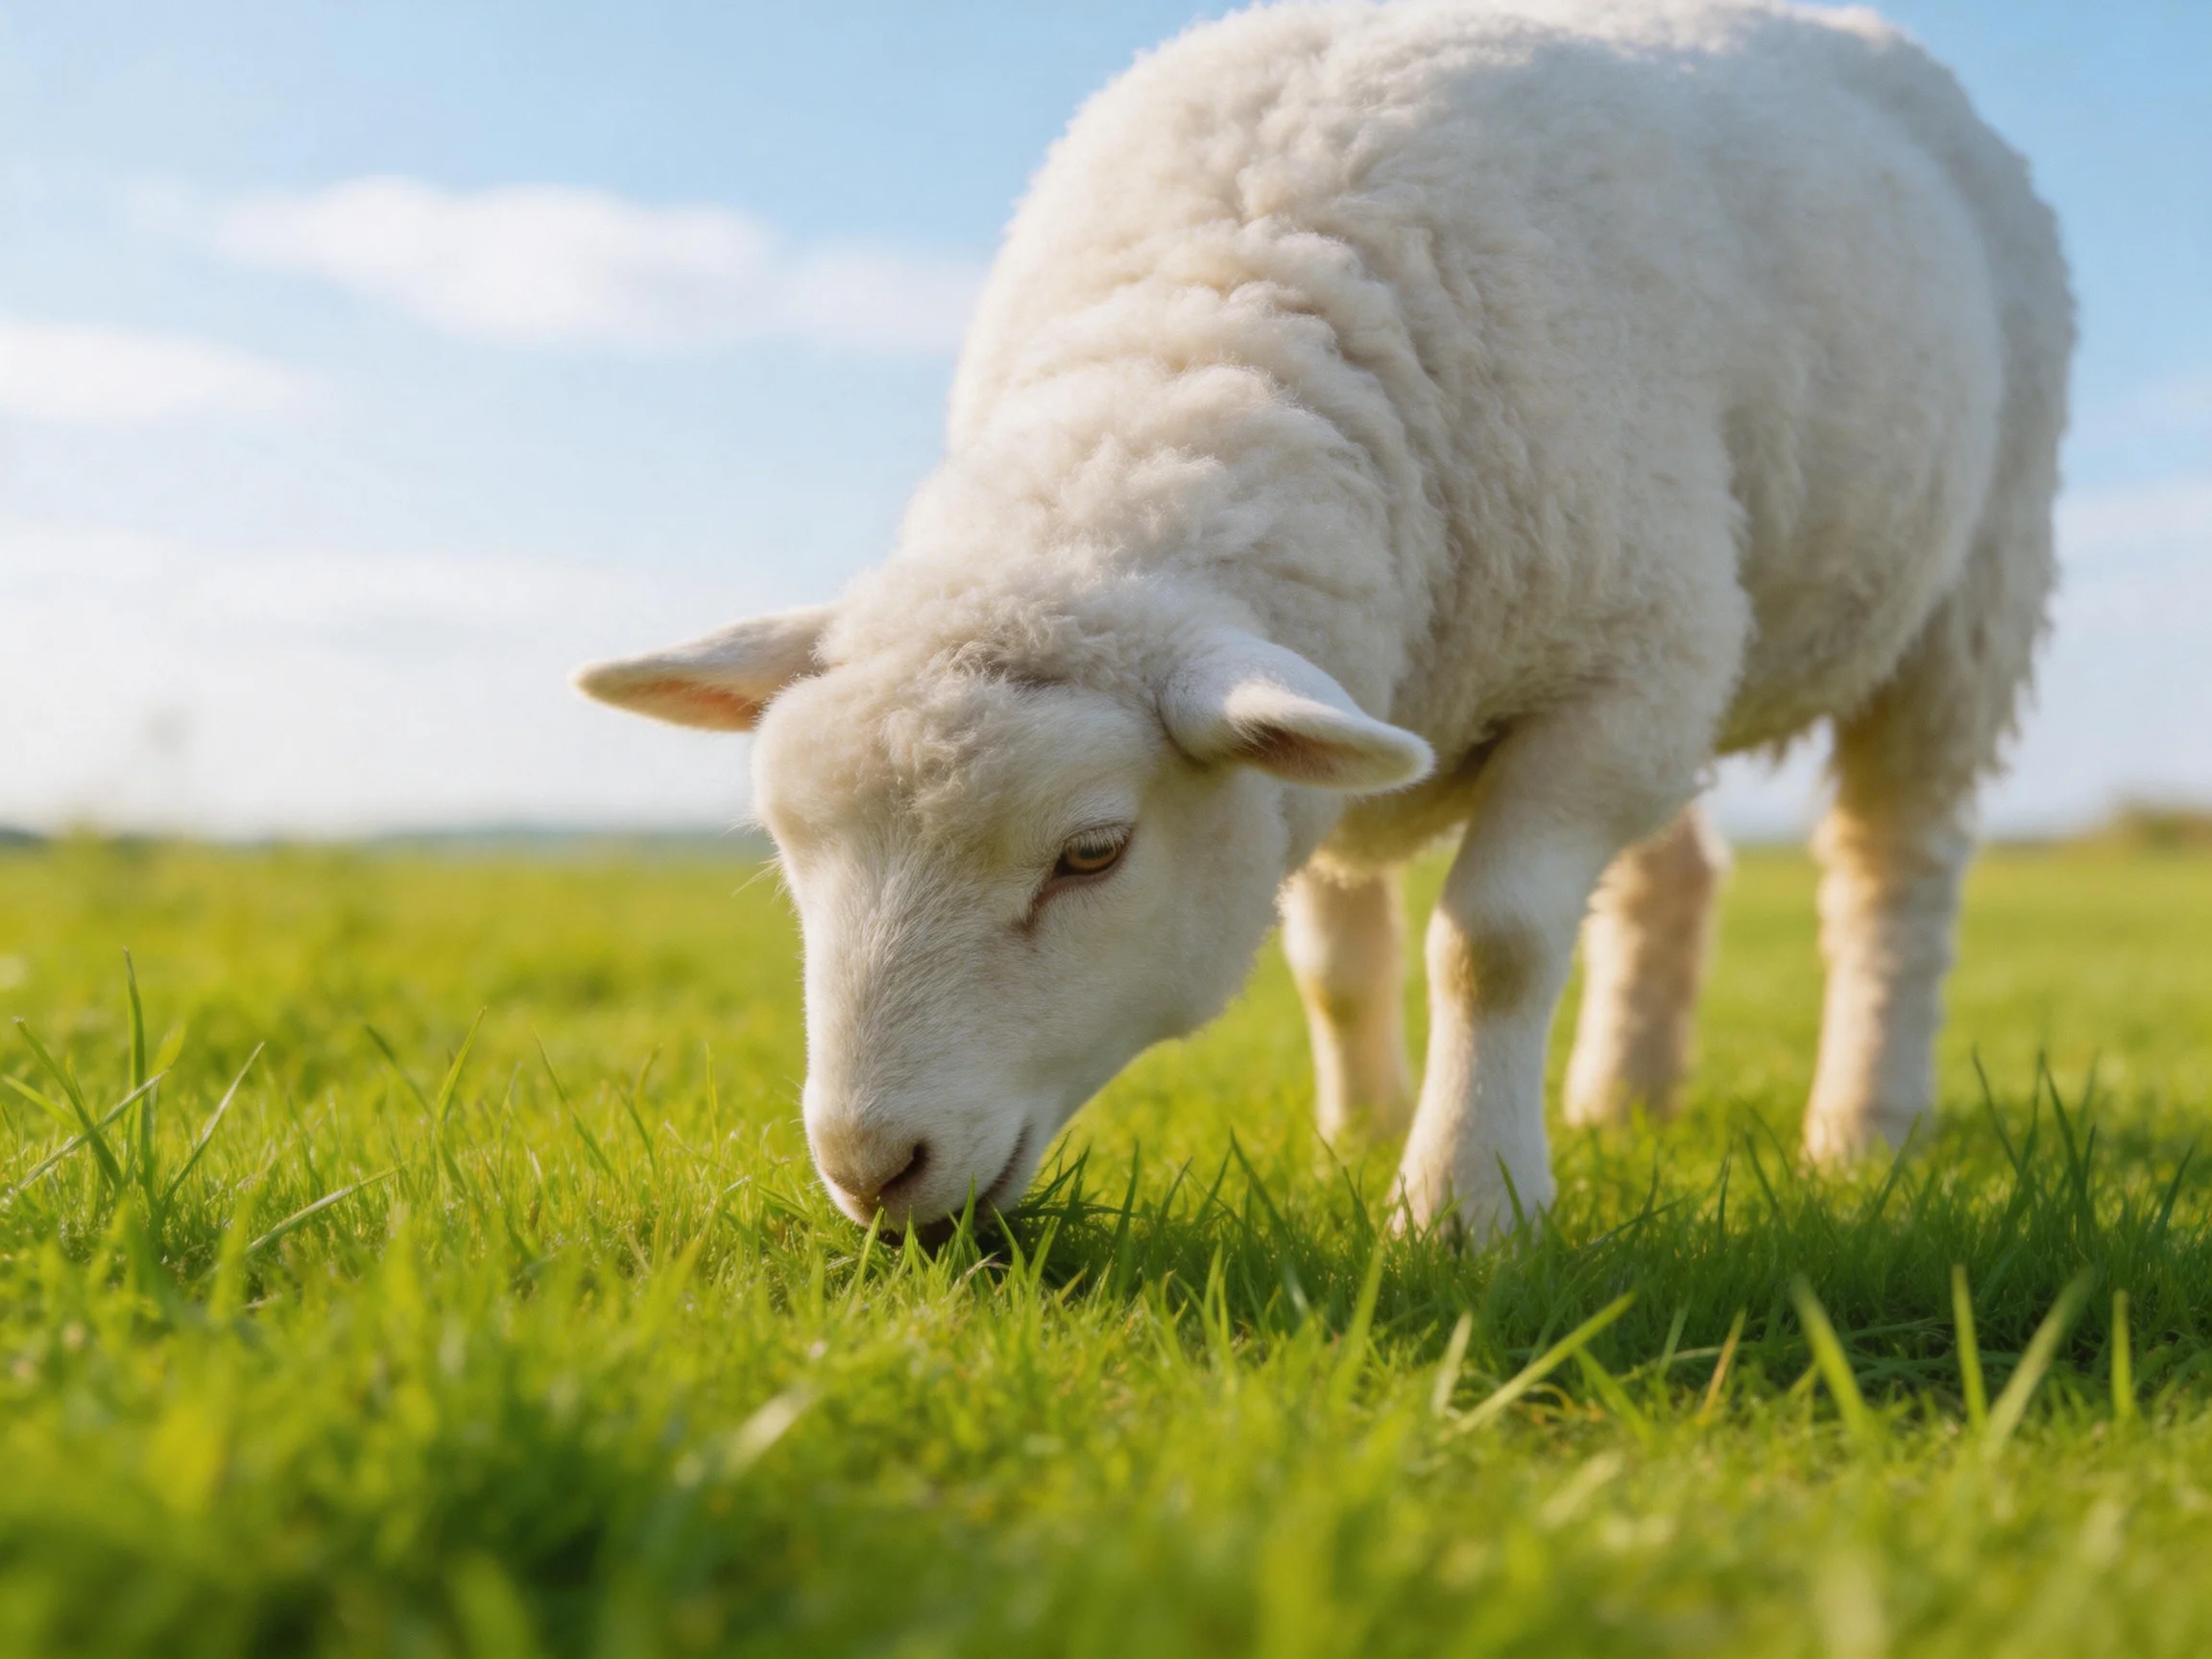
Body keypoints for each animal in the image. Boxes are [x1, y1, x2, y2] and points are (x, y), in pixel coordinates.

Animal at [575, 0, 2071, 1236]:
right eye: (788, 849)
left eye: (1093, 853)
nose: (871, 1168)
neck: (1212, 325)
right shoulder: (1357, 696)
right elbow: (1337, 964)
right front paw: (1358, 1137)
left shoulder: (1614, 673)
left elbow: (1494, 945)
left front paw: (1465, 1206)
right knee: (1675, 869)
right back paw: (1623, 1100)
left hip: (1971, 591)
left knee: (1892, 870)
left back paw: (1864, 1128)